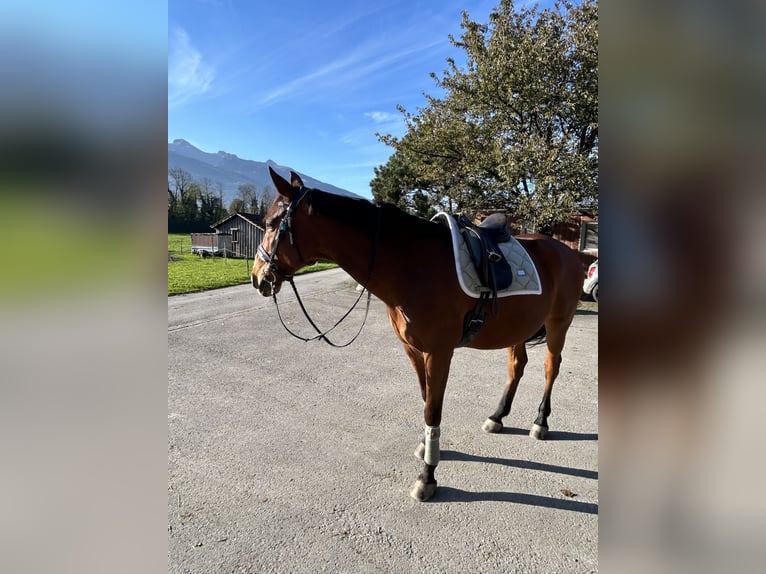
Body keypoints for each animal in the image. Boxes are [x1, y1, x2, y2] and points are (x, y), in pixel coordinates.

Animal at [255, 169, 584, 502]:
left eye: (270, 224)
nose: (257, 278)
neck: (411, 265)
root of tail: (569, 253)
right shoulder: (413, 350)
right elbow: (426, 400)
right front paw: (427, 449)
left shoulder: (439, 353)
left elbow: (432, 411)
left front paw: (427, 476)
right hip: (518, 328)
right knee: (517, 366)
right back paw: (497, 416)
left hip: (558, 324)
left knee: (550, 367)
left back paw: (540, 422)